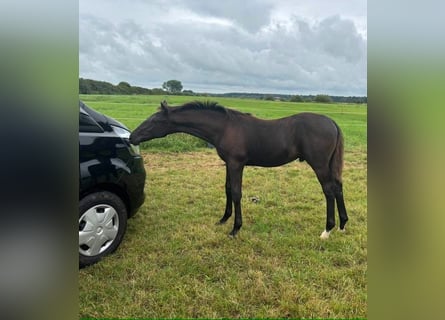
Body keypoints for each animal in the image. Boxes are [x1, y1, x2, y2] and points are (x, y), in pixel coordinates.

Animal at [130, 101, 348, 239]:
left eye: (155, 121)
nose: (132, 137)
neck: (225, 127)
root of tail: (332, 122)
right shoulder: (229, 163)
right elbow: (227, 189)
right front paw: (223, 219)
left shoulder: (236, 164)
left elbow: (236, 193)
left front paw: (235, 229)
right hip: (329, 165)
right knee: (338, 187)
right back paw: (343, 225)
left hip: (319, 164)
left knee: (329, 191)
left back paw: (327, 230)